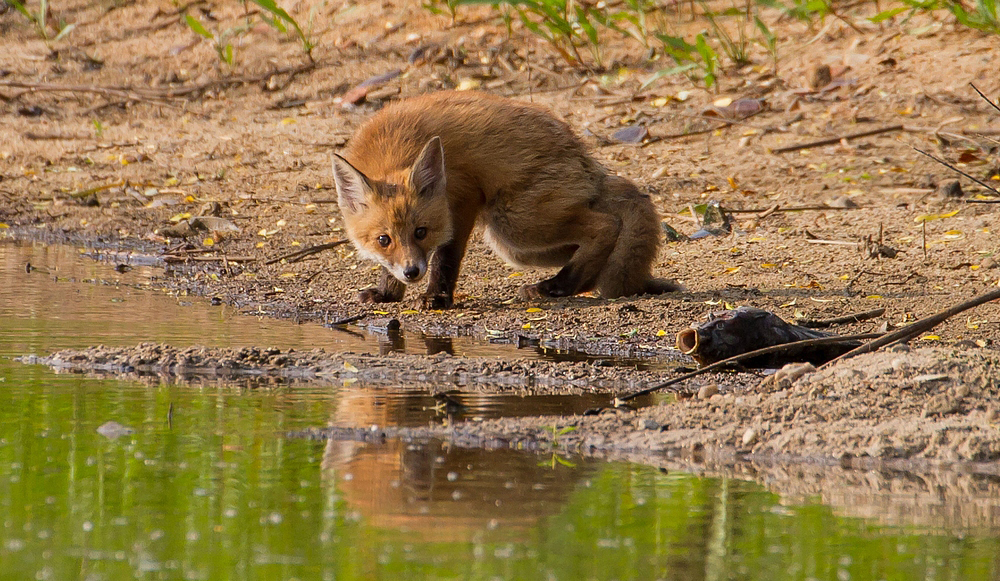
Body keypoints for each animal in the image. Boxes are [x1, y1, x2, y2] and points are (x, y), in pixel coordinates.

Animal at [332, 90, 684, 308]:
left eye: (421, 232)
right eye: (383, 240)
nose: (412, 273)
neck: (393, 146)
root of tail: (588, 163)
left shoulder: (464, 197)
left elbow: (445, 258)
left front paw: (436, 299)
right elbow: (388, 267)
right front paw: (387, 293)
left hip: (514, 225)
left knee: (605, 225)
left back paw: (559, 285)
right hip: (518, 246)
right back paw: (568, 285)